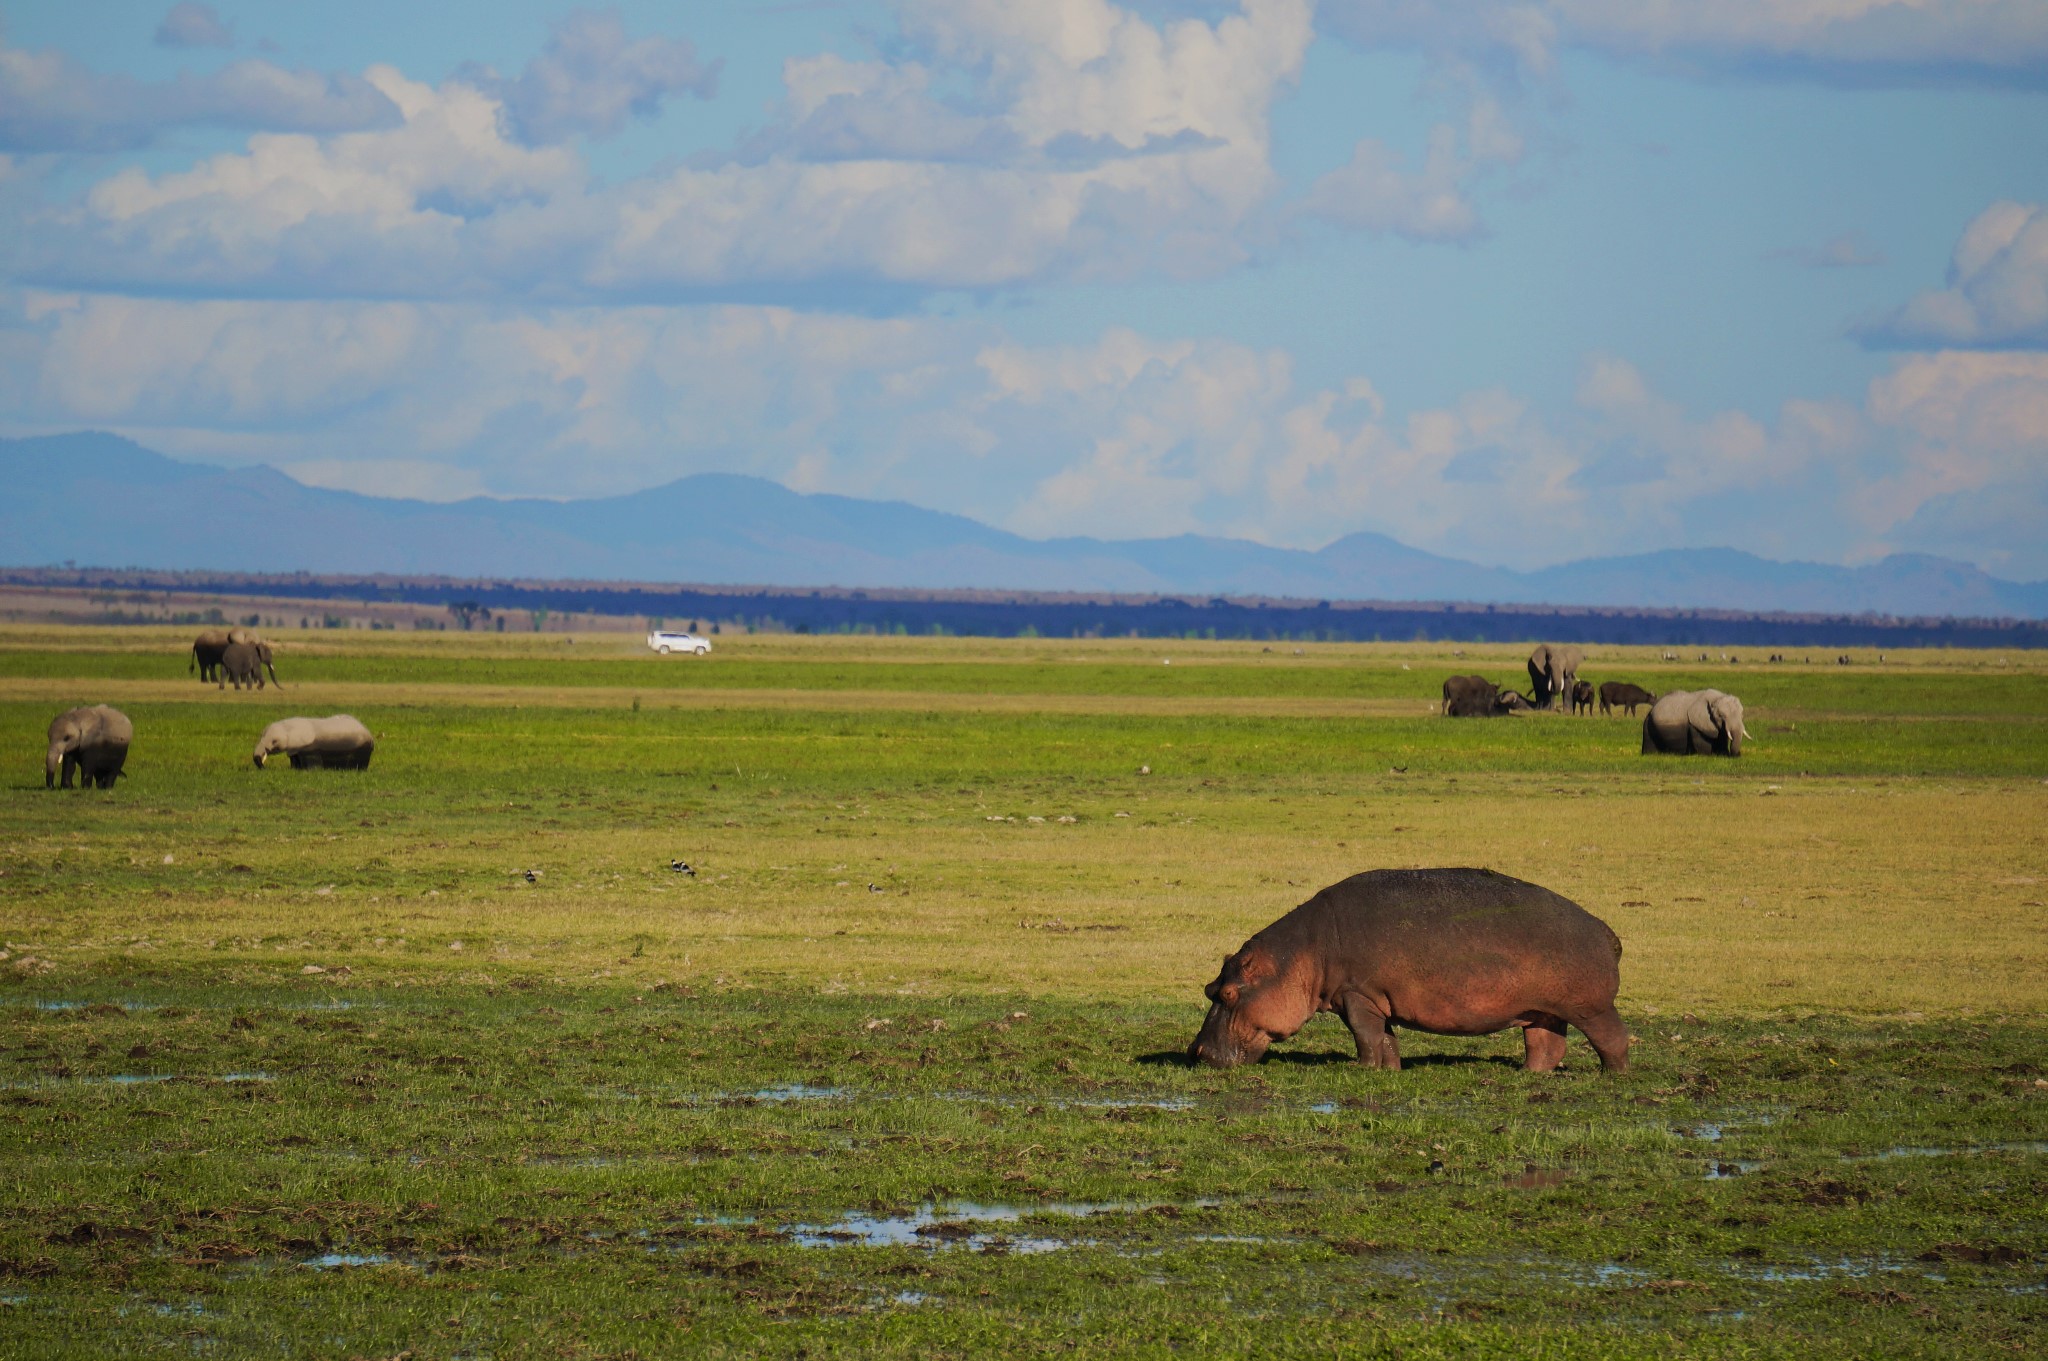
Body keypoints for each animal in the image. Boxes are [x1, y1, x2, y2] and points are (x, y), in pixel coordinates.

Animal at [1187, 871, 1630, 1072]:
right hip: (1543, 1011)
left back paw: (1611, 1075)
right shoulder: (1374, 998)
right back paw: (1525, 1075)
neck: (1301, 954)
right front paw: (1390, 1071)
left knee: (1613, 1039)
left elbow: (1365, 1035)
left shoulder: (1357, 994)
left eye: (1227, 994)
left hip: (1591, 1008)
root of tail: (1606, 931)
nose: (1197, 1053)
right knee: (1545, 1046)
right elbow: (1386, 1038)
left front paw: (1360, 1069)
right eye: (1210, 987)